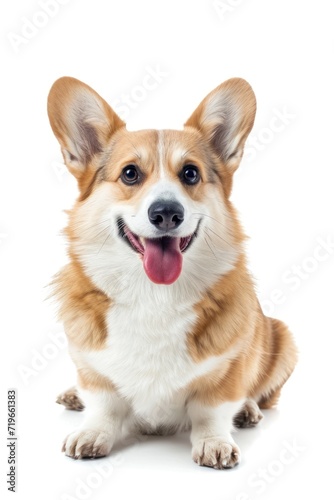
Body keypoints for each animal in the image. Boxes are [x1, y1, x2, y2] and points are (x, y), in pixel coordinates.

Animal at [47, 75, 298, 468]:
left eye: (190, 173)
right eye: (130, 173)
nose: (166, 213)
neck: (154, 295)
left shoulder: (227, 371)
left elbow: (211, 409)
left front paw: (214, 441)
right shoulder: (91, 367)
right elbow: (104, 404)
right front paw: (92, 432)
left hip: (282, 337)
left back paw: (248, 410)